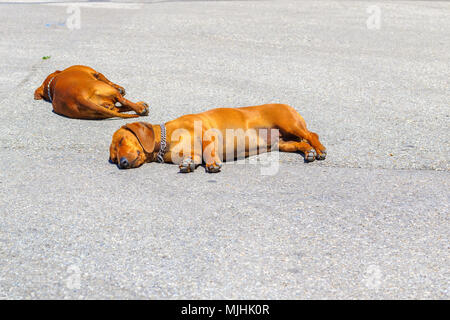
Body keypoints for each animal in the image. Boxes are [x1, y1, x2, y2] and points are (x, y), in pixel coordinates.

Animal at [109, 104, 326, 172]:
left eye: (121, 141)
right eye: (113, 157)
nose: (123, 163)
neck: (167, 139)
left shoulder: (205, 132)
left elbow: (208, 150)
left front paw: (212, 163)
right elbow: (194, 157)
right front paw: (189, 164)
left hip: (290, 124)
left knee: (311, 134)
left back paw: (319, 149)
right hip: (281, 143)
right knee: (299, 144)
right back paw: (309, 152)